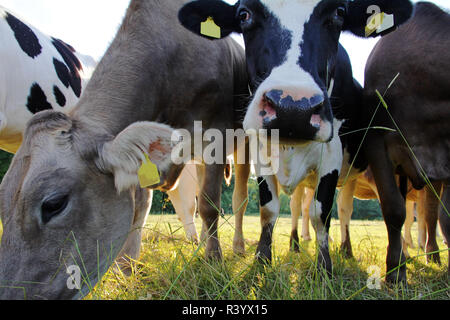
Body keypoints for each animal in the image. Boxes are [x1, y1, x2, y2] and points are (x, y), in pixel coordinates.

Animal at [0, 0, 248, 300]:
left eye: (54, 204)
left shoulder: (217, 134)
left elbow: (209, 204)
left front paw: (213, 262)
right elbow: (140, 205)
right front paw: (127, 269)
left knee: (238, 198)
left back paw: (237, 248)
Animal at [178, 0, 414, 278]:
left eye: (339, 13)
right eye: (244, 14)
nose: (293, 107)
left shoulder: (332, 153)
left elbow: (321, 213)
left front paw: (324, 268)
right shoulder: (260, 152)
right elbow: (269, 209)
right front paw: (261, 261)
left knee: (348, 208)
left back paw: (351, 251)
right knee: (304, 206)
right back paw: (297, 245)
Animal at [362, 1, 450, 278]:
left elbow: (445, 217)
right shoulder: (377, 141)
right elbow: (393, 208)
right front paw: (395, 272)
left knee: (431, 215)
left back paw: (432, 255)